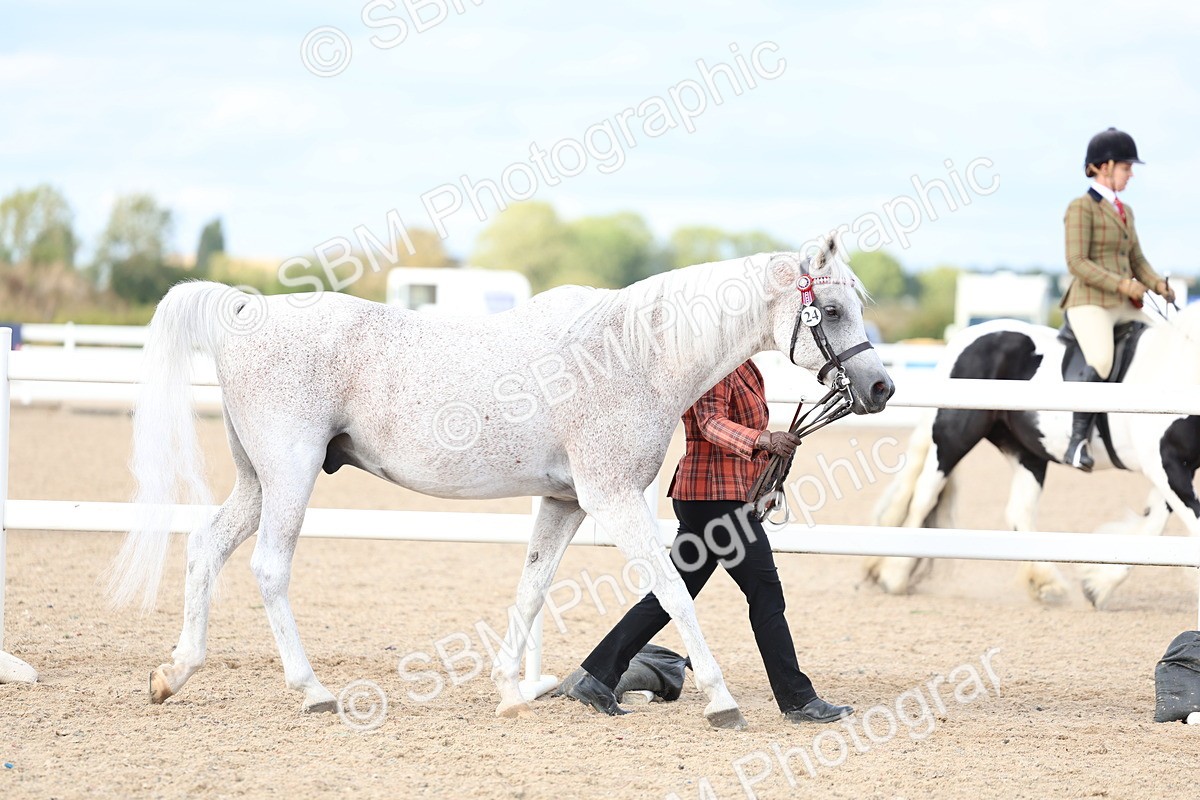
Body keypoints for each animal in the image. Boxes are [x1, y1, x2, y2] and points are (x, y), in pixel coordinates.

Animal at [108, 237, 894, 730]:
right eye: (832, 309)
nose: (881, 386)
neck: (635, 351)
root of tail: (246, 309)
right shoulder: (612, 498)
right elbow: (671, 590)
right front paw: (721, 699)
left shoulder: (565, 501)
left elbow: (533, 586)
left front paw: (515, 693)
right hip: (290, 474)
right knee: (270, 567)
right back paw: (313, 692)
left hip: (257, 479)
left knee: (206, 548)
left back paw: (174, 673)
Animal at [864, 303, 1200, 607]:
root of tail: (967, 338)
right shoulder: (1164, 463)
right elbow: (1185, 524)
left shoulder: (1176, 468)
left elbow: (1154, 524)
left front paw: (1098, 585)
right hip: (953, 438)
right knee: (924, 496)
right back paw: (894, 576)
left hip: (1027, 452)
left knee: (1019, 512)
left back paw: (1045, 583)